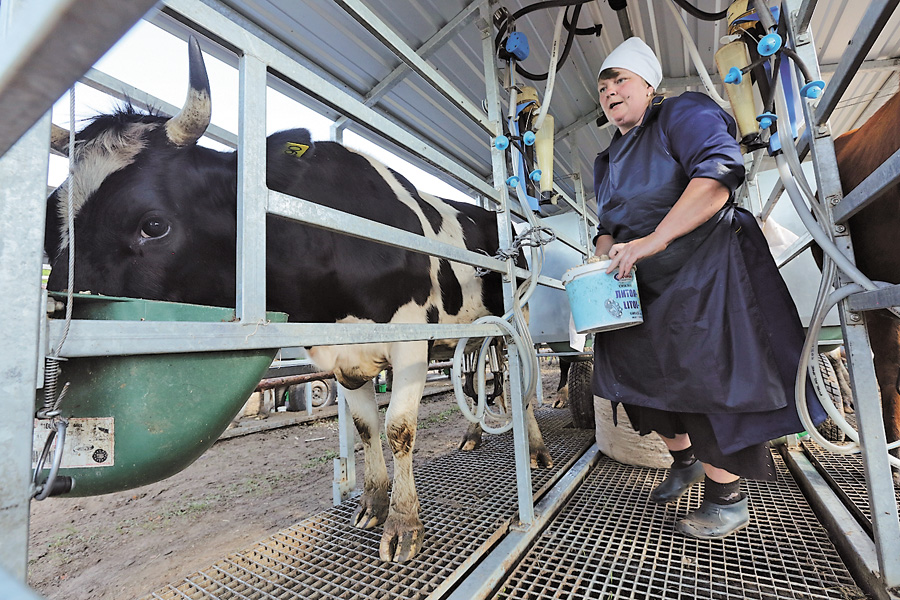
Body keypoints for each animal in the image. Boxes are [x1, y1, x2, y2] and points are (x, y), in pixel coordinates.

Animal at [45, 37, 552, 564]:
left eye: (153, 224)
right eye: (48, 229)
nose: (60, 318)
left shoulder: (410, 339)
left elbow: (399, 429)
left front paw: (404, 524)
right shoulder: (341, 358)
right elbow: (367, 427)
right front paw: (373, 503)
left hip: (517, 319)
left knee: (519, 382)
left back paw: (535, 450)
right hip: (473, 334)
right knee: (480, 380)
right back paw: (473, 435)